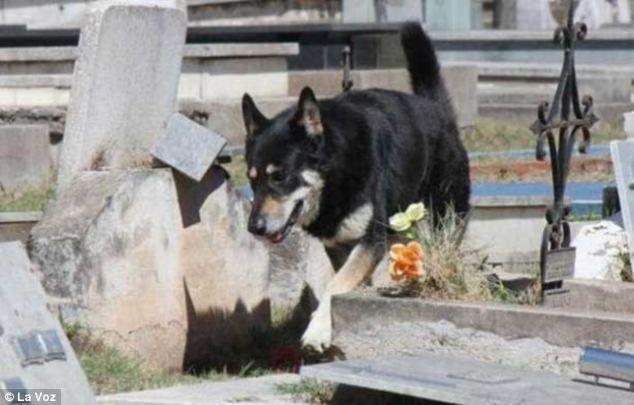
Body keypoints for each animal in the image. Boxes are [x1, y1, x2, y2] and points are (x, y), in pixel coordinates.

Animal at [242, 22, 470, 350]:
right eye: (252, 178)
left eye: (280, 176)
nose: (254, 228)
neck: (336, 173)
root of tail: (435, 107)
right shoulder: (339, 245)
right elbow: (337, 281)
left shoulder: (369, 240)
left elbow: (334, 286)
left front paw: (318, 330)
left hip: (446, 217)